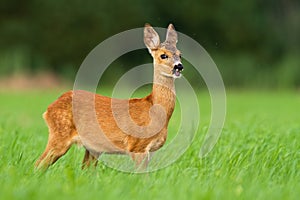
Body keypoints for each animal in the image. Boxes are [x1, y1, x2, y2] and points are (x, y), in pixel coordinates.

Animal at [36, 23, 184, 170]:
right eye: (163, 55)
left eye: (180, 55)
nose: (179, 66)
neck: (154, 109)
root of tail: (49, 108)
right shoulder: (137, 146)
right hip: (60, 135)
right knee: (38, 164)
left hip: (91, 148)